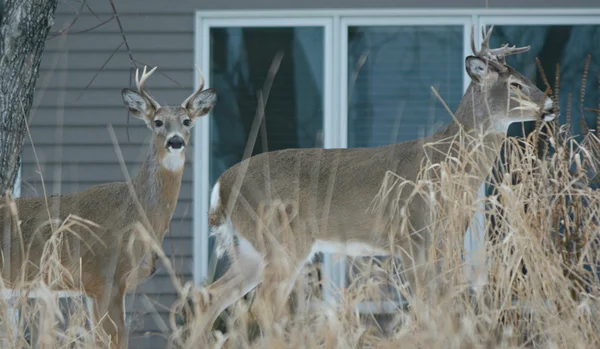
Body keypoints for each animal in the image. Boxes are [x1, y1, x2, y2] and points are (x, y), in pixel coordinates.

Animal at [0, 66, 216, 346]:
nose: (176, 141)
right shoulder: (106, 278)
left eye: (187, 121)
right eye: (158, 122)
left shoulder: (94, 288)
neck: (138, 216)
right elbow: (116, 340)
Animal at [195, 25, 556, 328]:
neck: (448, 164)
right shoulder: (412, 234)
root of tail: (221, 185)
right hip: (280, 238)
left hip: (251, 249)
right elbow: (426, 305)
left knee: (212, 296)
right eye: (514, 84)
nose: (551, 103)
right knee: (261, 307)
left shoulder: (443, 238)